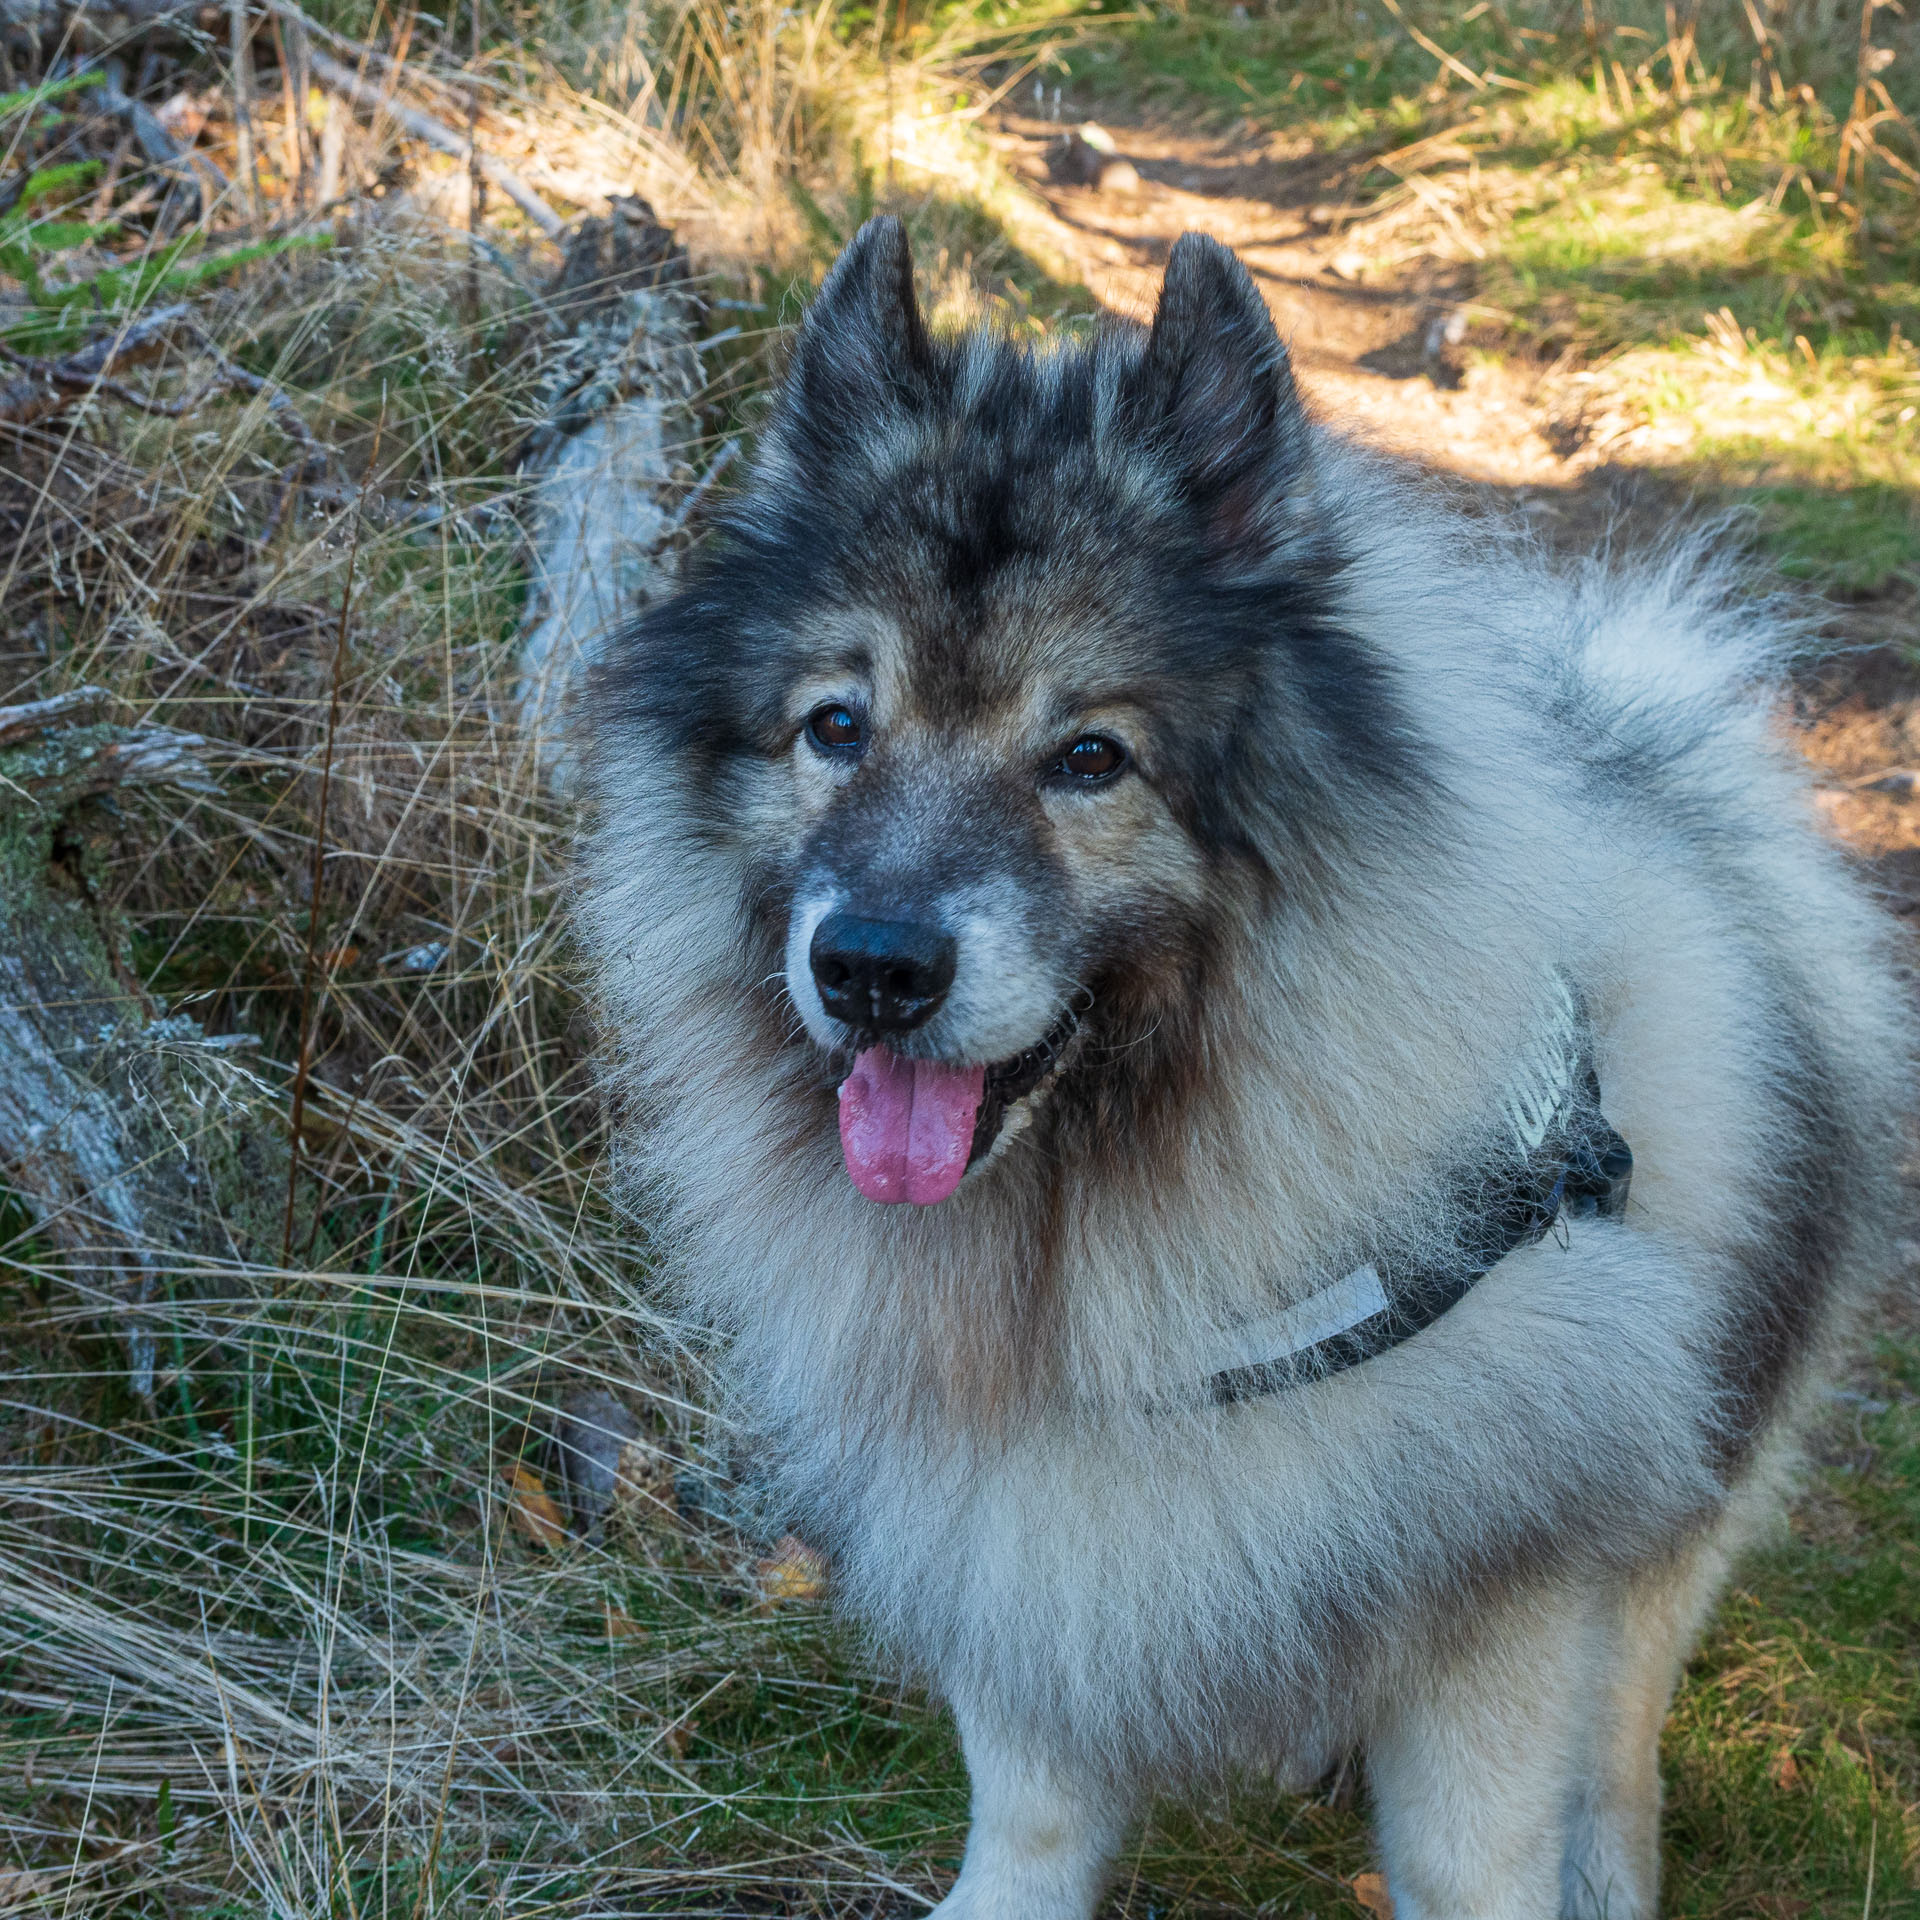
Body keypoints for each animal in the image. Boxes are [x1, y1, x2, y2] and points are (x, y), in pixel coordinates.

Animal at [579, 220, 1904, 1920]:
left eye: (1090, 757)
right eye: (836, 727)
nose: (872, 967)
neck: (1113, 1208)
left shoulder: (1507, 1586)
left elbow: (1476, 1850)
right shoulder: (1024, 1543)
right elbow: (1030, 1811)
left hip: (1700, 1468)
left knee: (1626, 1713)